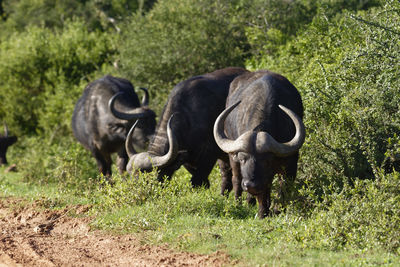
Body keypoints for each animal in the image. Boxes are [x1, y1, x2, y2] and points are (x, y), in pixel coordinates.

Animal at [214, 70, 304, 219]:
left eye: (267, 161)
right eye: (243, 159)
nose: (250, 185)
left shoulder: (291, 163)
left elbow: (283, 187)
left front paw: (277, 210)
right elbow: (261, 192)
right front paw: (262, 212)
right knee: (236, 180)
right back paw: (239, 203)